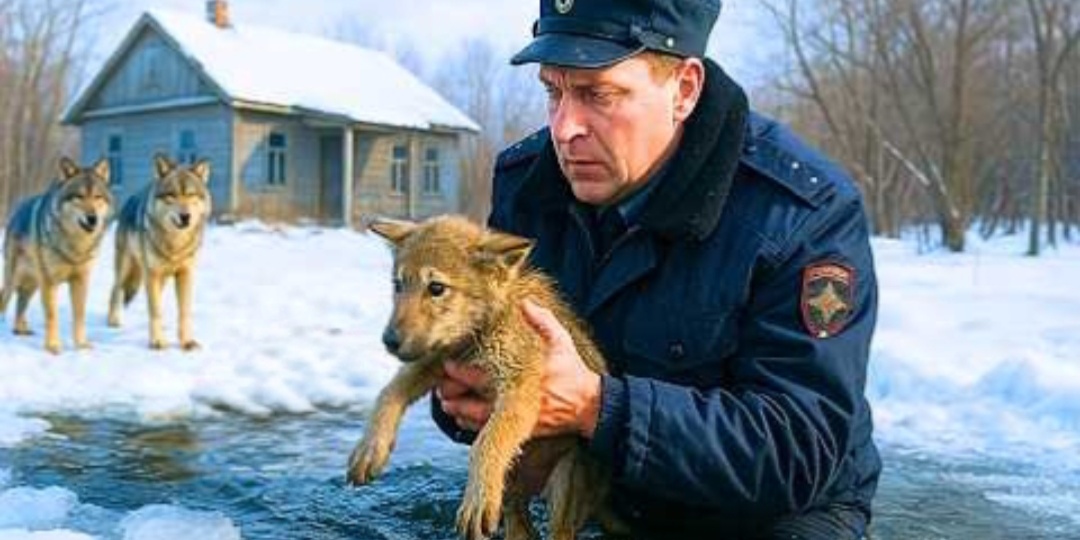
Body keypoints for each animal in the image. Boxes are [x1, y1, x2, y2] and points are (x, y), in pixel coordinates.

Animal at [0, 157, 113, 354]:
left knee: (21, 302)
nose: (93, 219)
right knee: (4, 300)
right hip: (14, 280)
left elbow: (79, 315)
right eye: (79, 196)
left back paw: (20, 329)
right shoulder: (49, 282)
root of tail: (16, 210)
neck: (76, 245)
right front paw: (53, 346)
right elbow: (52, 315)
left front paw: (81, 345)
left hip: (32, 283)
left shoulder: (81, 280)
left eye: (97, 197)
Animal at [107, 154, 212, 351]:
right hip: (126, 268)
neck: (175, 243)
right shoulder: (152, 274)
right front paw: (157, 341)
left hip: (158, 277)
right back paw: (113, 320)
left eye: (191, 194)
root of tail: (130, 199)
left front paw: (187, 341)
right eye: (171, 195)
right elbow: (155, 310)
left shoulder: (185, 273)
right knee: (116, 290)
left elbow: (183, 311)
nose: (185, 216)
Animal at [347, 215, 618, 540]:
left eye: (436, 288)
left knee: (558, 530)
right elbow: (389, 392)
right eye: (398, 285)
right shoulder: (436, 360)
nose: (389, 340)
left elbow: (488, 439)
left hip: (568, 481)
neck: (479, 335)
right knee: (519, 521)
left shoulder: (521, 386)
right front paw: (369, 449)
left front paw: (477, 499)